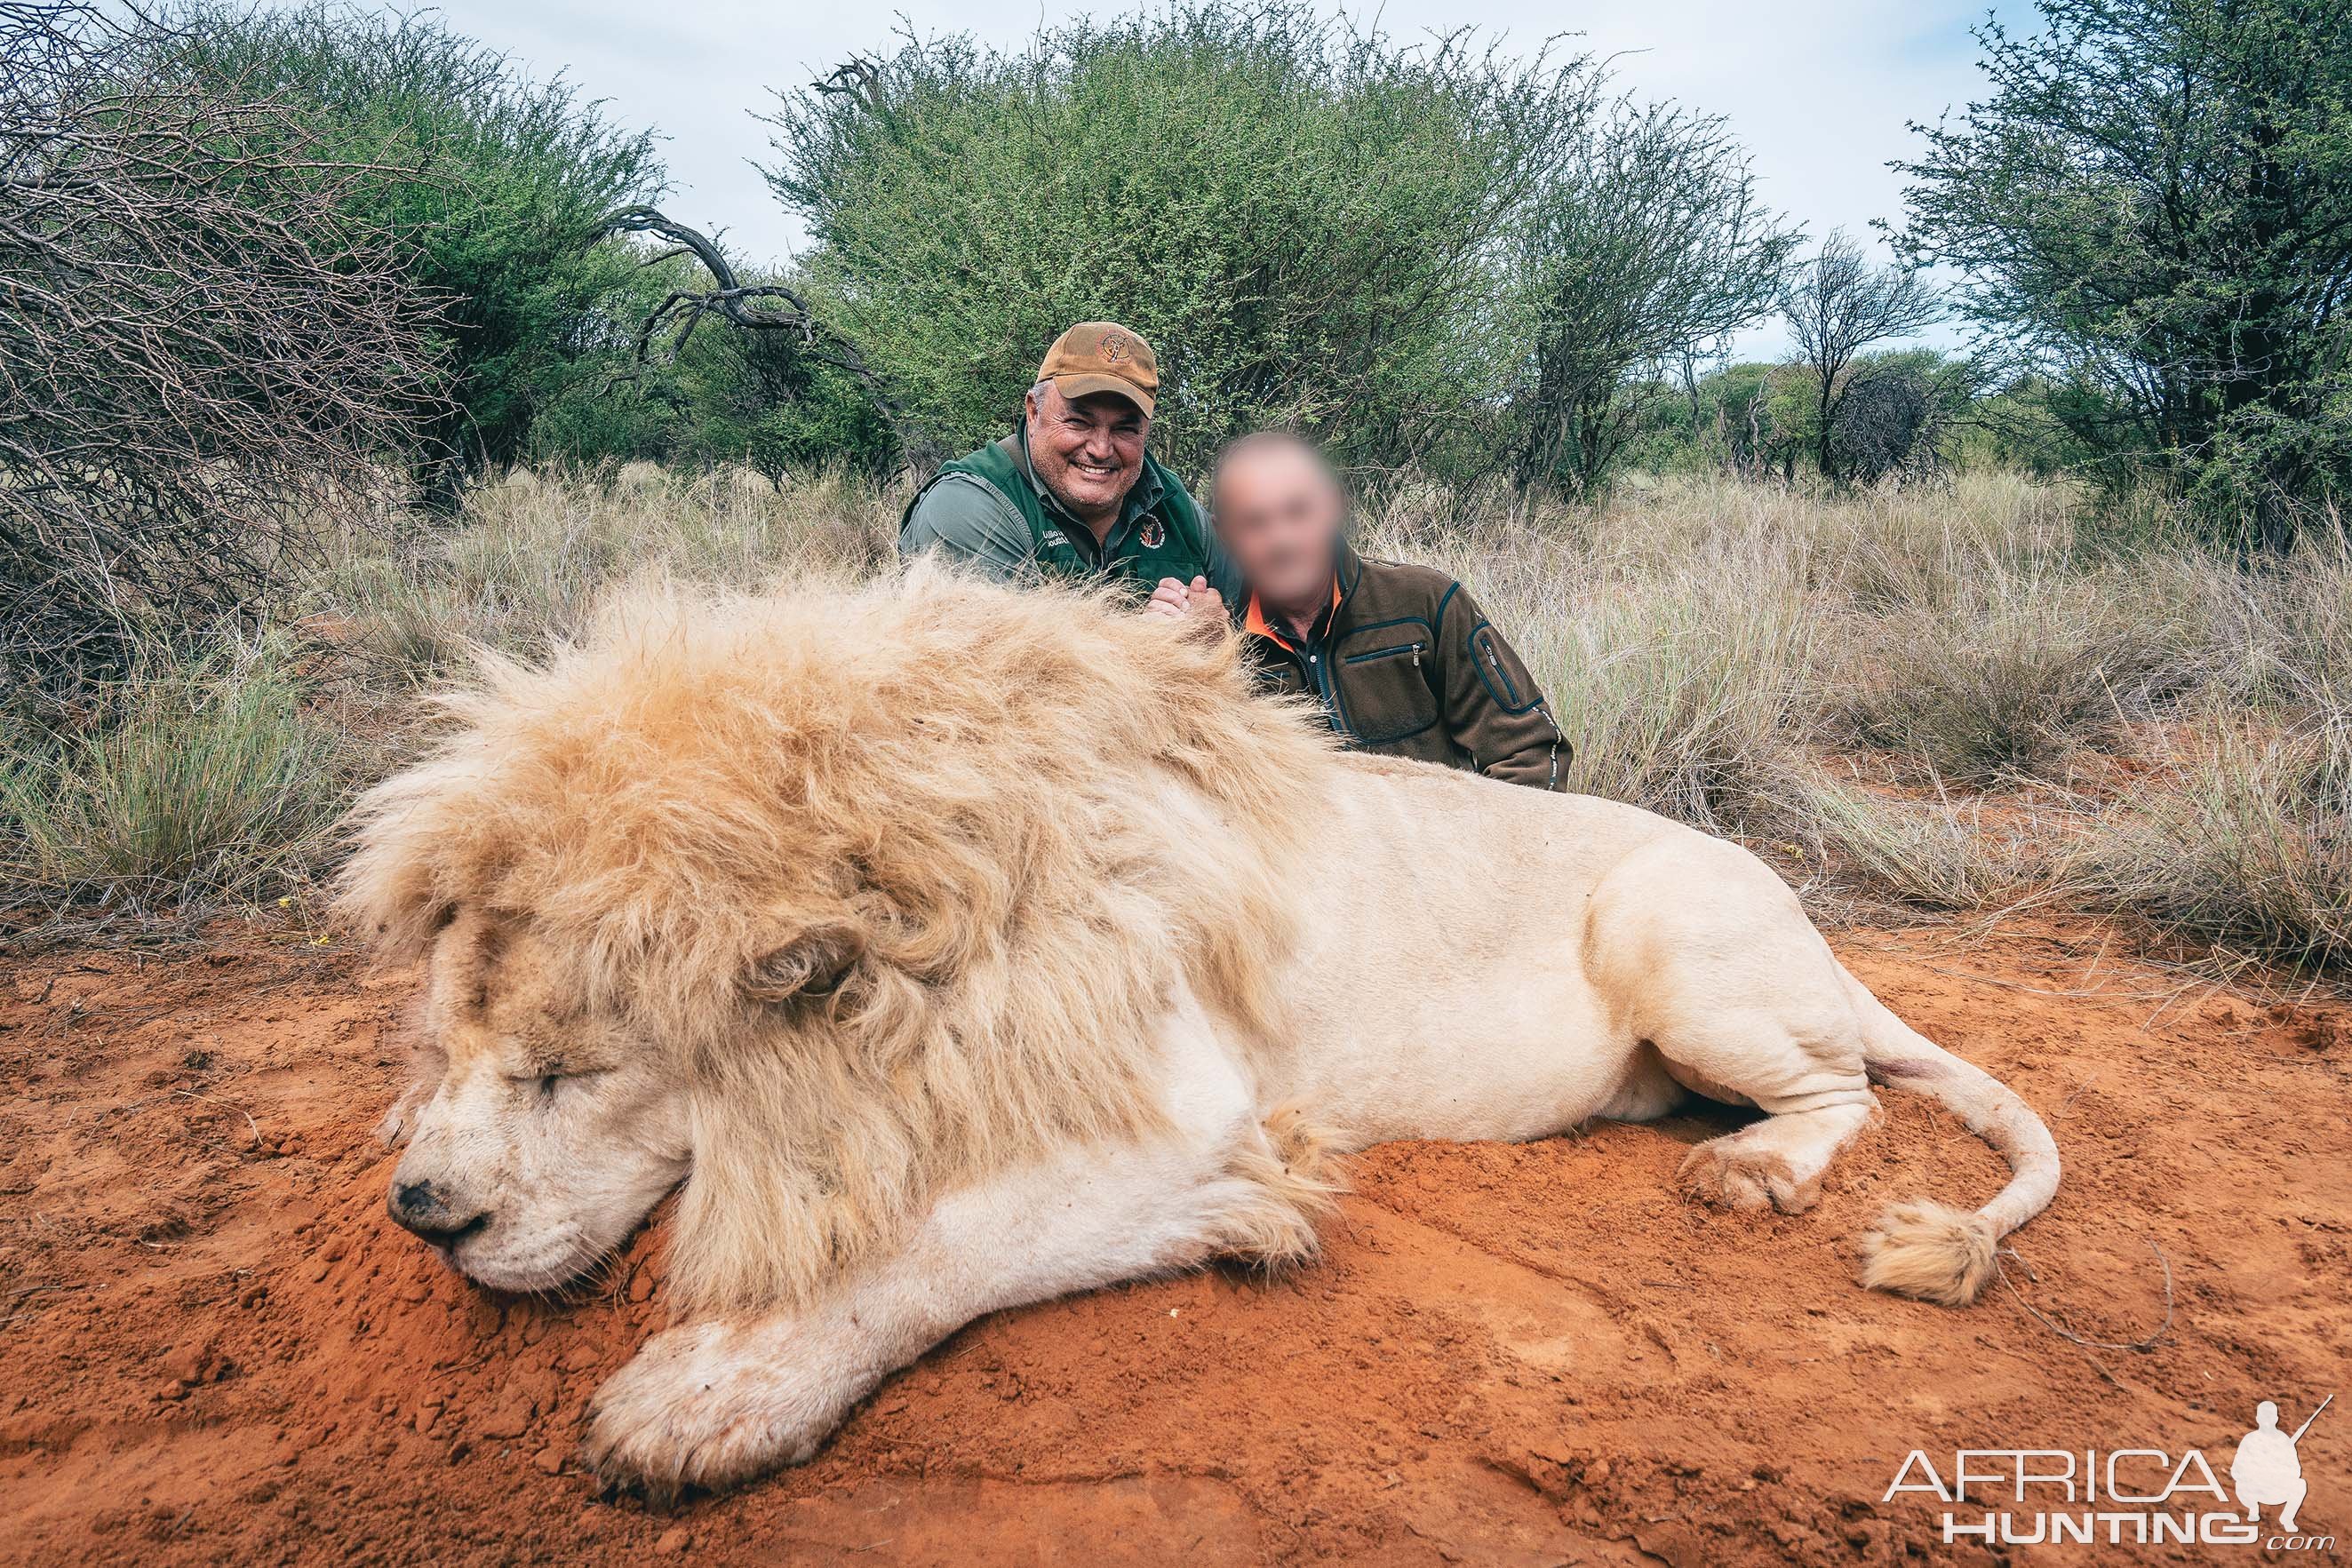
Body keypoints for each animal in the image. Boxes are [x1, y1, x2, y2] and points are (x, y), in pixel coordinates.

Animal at [343, 571, 2060, 1504]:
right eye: (451, 1045)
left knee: (1846, 1090)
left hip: (1670, 937)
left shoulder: (1176, 1108)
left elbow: (936, 1246)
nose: (423, 1214)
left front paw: (701, 1399)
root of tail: (1805, 920)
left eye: (570, 1072)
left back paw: (1755, 1174)